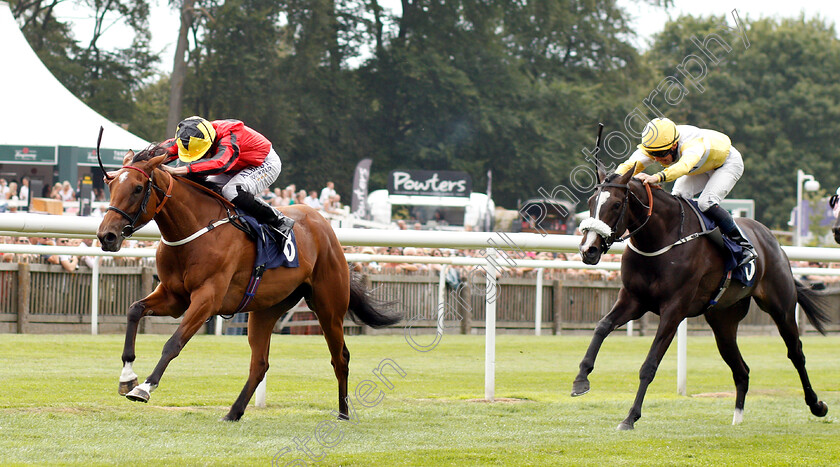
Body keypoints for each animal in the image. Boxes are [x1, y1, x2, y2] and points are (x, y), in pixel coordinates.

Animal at [97, 147, 402, 424]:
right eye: (110, 184)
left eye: (138, 188)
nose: (106, 236)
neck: (194, 229)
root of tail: (325, 225)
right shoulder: (174, 298)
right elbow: (134, 310)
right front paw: (127, 376)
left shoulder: (207, 298)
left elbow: (174, 343)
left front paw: (144, 387)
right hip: (266, 309)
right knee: (260, 364)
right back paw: (233, 412)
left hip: (329, 306)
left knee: (341, 357)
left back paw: (343, 413)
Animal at [576, 167, 832, 432]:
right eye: (591, 202)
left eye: (616, 204)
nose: (588, 250)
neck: (660, 239)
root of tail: (773, 241)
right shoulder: (633, 300)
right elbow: (602, 326)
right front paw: (581, 380)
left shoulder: (674, 310)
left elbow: (650, 364)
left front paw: (630, 417)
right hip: (723, 322)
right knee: (741, 369)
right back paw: (737, 418)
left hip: (781, 307)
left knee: (796, 353)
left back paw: (817, 405)